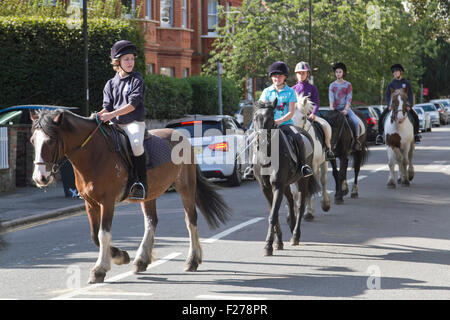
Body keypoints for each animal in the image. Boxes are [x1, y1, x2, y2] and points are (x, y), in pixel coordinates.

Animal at [253, 100, 320, 255]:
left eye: (270, 117)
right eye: (255, 118)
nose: (260, 141)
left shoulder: (277, 185)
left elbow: (273, 215)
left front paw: (268, 246)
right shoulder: (266, 188)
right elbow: (274, 213)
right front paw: (278, 242)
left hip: (302, 180)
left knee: (300, 205)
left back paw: (295, 235)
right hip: (287, 184)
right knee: (290, 201)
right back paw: (291, 225)